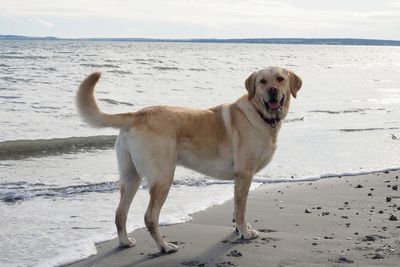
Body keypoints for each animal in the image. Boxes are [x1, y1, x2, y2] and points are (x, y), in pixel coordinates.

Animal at [77, 66, 304, 253]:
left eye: (280, 79)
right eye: (262, 81)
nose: (272, 90)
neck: (260, 113)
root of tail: (138, 114)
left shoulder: (239, 178)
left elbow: (236, 207)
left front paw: (240, 229)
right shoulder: (244, 174)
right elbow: (241, 209)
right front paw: (244, 232)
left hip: (131, 177)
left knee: (120, 213)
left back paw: (125, 242)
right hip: (163, 177)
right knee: (150, 217)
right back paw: (164, 246)